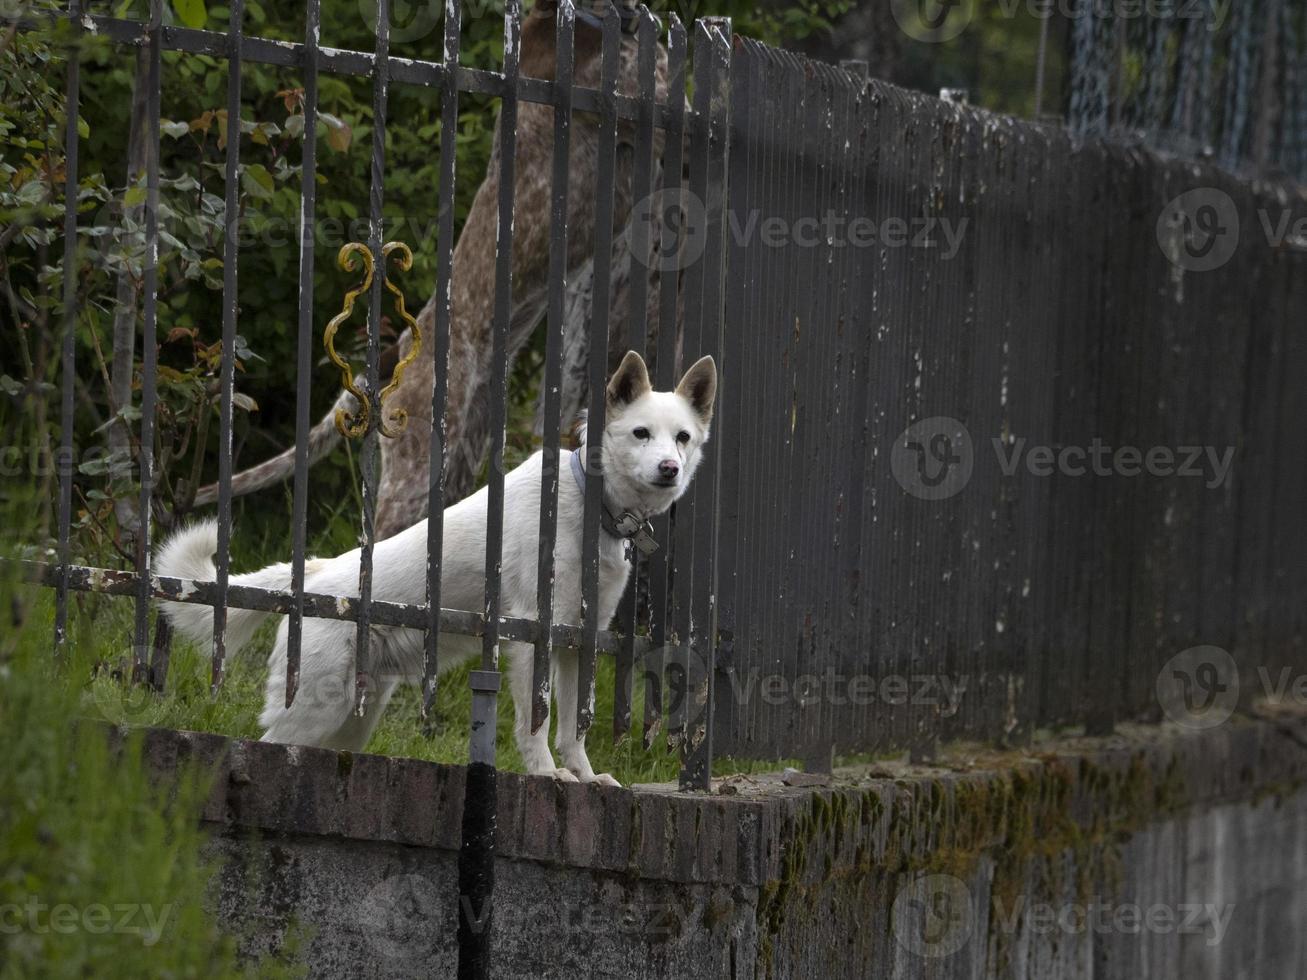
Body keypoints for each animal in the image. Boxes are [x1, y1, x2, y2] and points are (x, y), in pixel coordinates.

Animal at [160, 352, 726, 789]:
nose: (670, 470)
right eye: (640, 433)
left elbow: (573, 730)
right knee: (270, 742)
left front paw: (586, 778)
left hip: (351, 720)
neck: (590, 507)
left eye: (682, 437)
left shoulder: (574, 644)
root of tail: (315, 579)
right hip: (314, 710)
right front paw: (546, 775)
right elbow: (536, 727)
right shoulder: (530, 637)